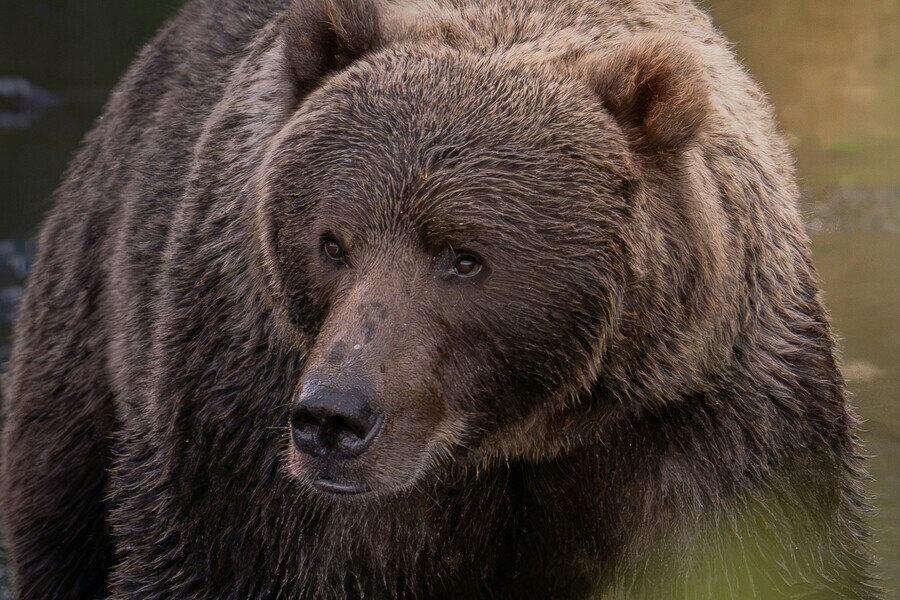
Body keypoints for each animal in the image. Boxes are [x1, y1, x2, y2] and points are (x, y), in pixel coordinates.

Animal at [0, 0, 882, 598]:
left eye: (464, 257)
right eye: (333, 241)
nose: (334, 417)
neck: (509, 438)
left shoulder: (703, 418)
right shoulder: (244, 424)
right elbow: (222, 558)